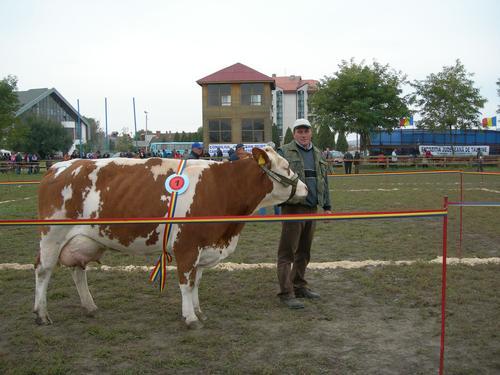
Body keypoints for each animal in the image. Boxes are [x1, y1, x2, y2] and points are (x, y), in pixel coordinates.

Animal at [34, 147, 304, 328]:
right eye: (286, 167)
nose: (305, 188)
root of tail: (58, 167)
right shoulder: (187, 246)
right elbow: (186, 283)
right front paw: (191, 318)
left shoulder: (202, 248)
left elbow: (196, 282)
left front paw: (198, 311)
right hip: (52, 236)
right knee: (43, 270)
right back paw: (41, 314)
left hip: (82, 241)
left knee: (78, 271)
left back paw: (90, 307)